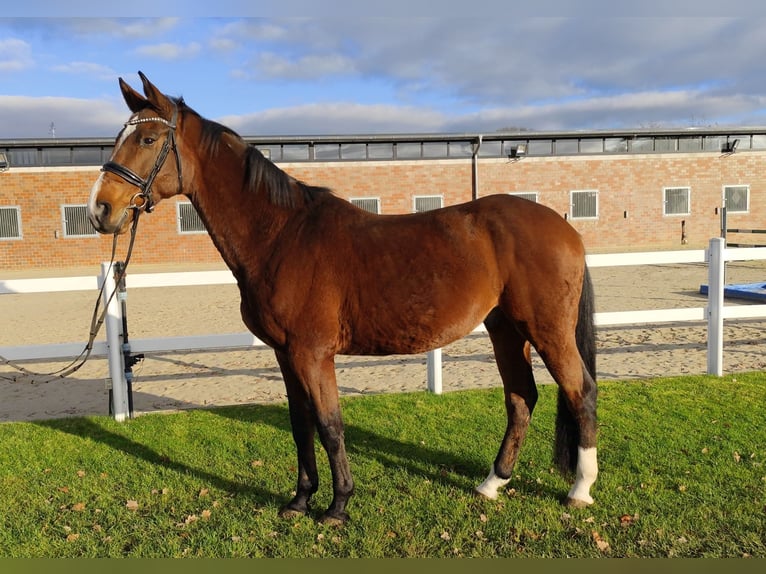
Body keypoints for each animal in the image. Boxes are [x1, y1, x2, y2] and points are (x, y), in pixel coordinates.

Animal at [85, 72, 600, 528]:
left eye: (148, 138)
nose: (100, 209)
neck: (281, 235)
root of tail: (565, 228)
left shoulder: (313, 354)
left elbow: (331, 426)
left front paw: (337, 507)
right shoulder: (286, 354)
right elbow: (301, 424)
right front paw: (300, 500)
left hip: (547, 331)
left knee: (581, 392)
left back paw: (580, 490)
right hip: (505, 329)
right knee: (521, 397)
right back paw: (492, 483)